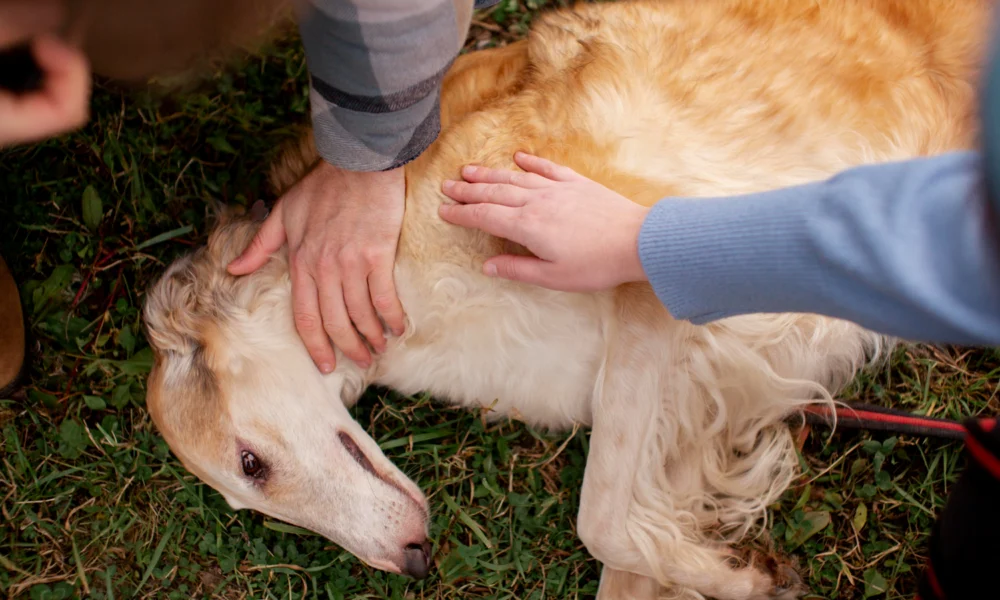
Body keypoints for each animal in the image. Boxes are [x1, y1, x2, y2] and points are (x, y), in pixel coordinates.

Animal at [141, 1, 992, 600]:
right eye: (247, 500)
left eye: (251, 464)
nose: (414, 562)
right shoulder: (691, 406)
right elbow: (630, 542)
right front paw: (722, 569)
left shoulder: (653, 258)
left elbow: (600, 518)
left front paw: (748, 575)